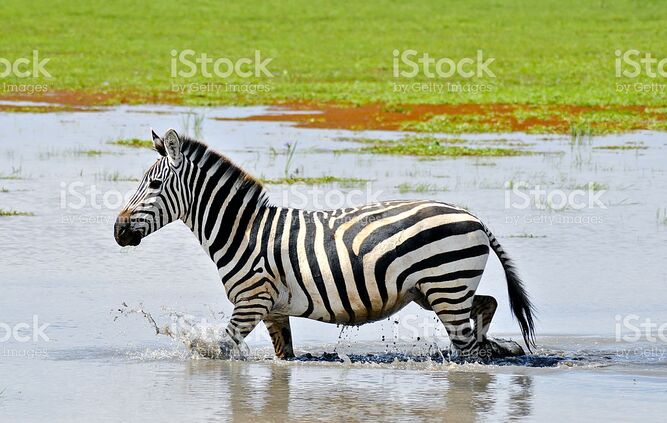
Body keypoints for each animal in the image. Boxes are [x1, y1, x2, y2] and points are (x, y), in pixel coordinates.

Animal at [112, 129, 536, 362]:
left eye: (153, 185)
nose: (117, 231)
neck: (242, 231)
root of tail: (472, 216)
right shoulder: (273, 309)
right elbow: (284, 356)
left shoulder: (251, 301)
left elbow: (217, 348)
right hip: (433, 291)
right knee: (487, 306)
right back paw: (496, 345)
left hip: (445, 286)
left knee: (468, 349)